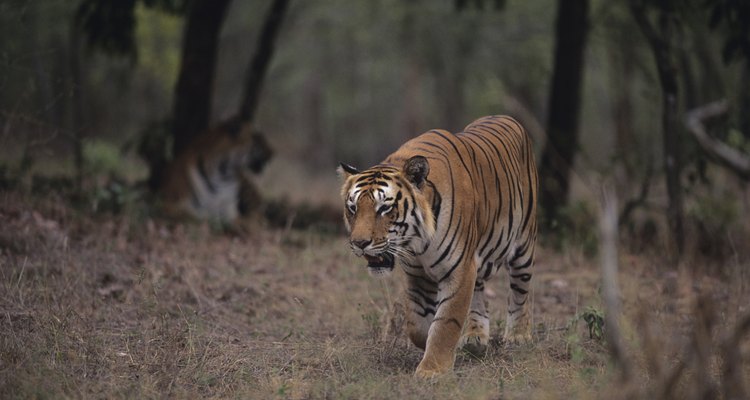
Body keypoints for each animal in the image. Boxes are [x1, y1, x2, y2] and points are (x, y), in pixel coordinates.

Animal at [338, 114, 536, 376]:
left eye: (384, 208)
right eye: (353, 208)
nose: (359, 243)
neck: (417, 242)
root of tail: (504, 116)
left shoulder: (459, 269)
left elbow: (446, 322)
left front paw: (432, 370)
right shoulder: (418, 274)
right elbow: (417, 323)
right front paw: (429, 346)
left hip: (523, 246)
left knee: (520, 292)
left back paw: (518, 336)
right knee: (479, 293)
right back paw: (475, 337)